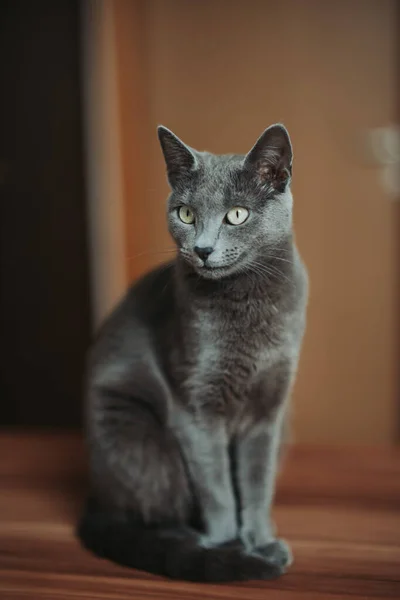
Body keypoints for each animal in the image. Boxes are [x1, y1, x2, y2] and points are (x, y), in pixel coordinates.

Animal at [78, 123, 310, 580]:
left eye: (236, 214)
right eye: (185, 214)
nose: (201, 249)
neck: (247, 304)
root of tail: (96, 495)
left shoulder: (269, 411)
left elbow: (256, 485)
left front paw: (259, 539)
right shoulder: (196, 408)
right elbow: (217, 489)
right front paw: (228, 548)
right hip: (136, 435)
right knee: (151, 509)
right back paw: (191, 545)